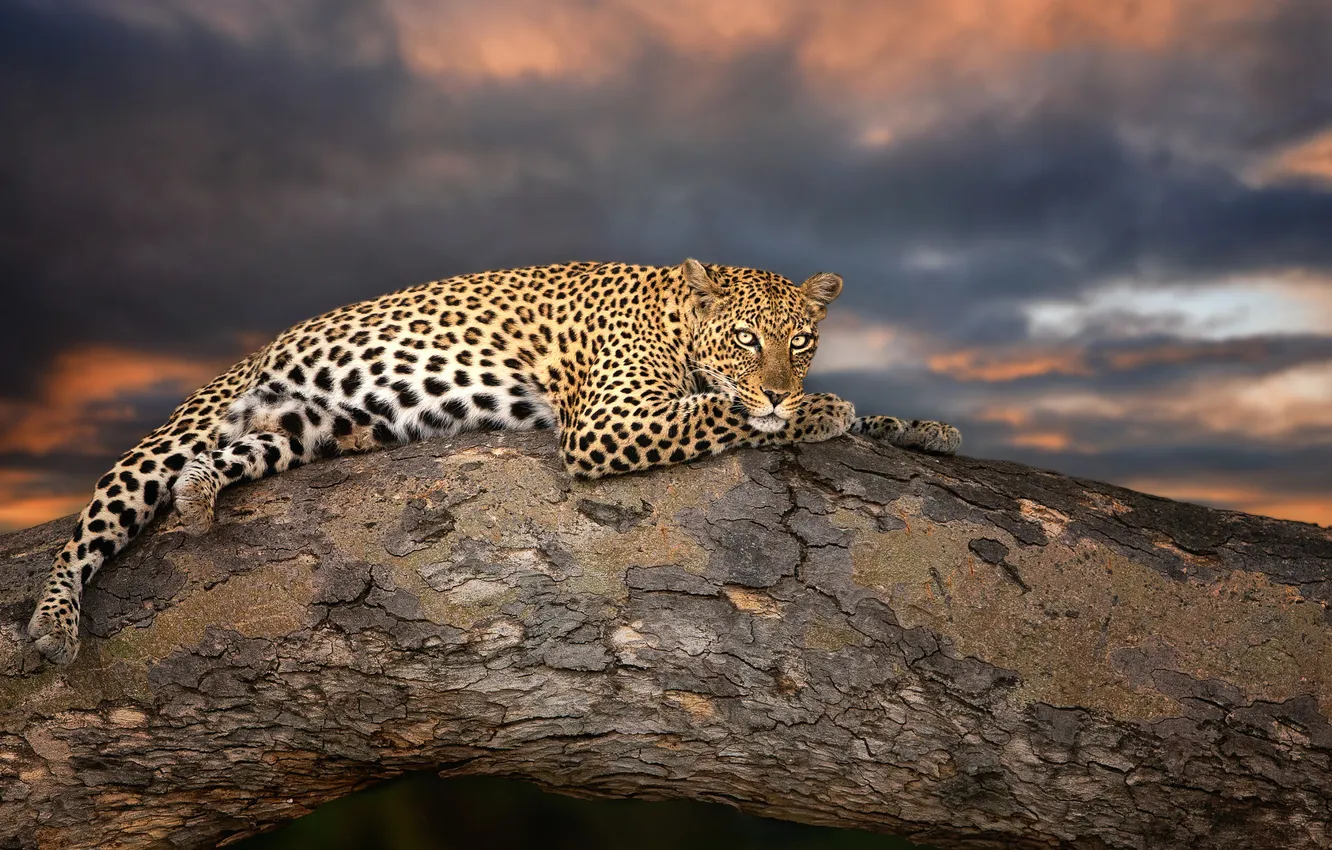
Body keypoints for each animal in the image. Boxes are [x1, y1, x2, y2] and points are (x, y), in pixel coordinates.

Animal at [27, 259, 960, 666]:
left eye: (800, 342)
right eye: (744, 340)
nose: (779, 387)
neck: (675, 311)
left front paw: (917, 426)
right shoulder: (611, 420)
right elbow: (721, 411)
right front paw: (818, 410)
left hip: (305, 428)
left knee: (238, 455)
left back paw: (201, 493)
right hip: (177, 431)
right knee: (89, 529)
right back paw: (52, 627)